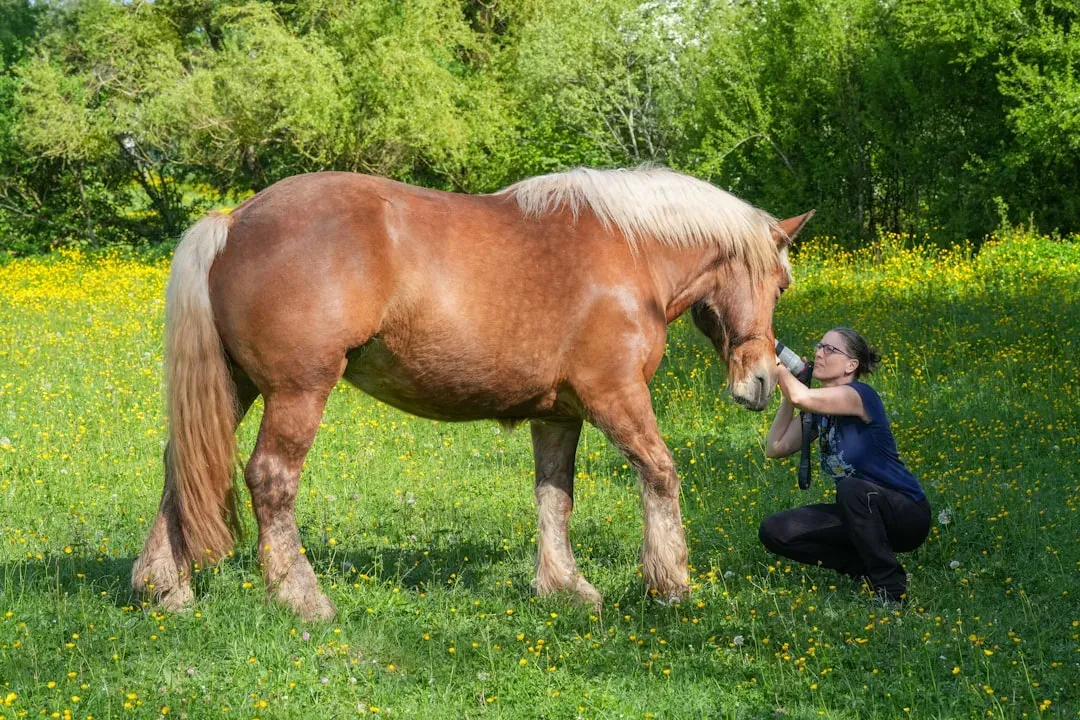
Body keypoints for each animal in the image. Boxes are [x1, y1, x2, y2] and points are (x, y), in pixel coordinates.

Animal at [131, 166, 813, 620]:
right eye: (778, 283)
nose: (760, 380)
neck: (631, 253)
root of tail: (233, 222)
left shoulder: (559, 415)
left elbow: (554, 498)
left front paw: (563, 586)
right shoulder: (615, 397)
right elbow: (661, 473)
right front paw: (670, 583)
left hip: (234, 387)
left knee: (181, 466)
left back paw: (167, 587)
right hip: (298, 392)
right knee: (271, 479)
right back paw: (302, 598)